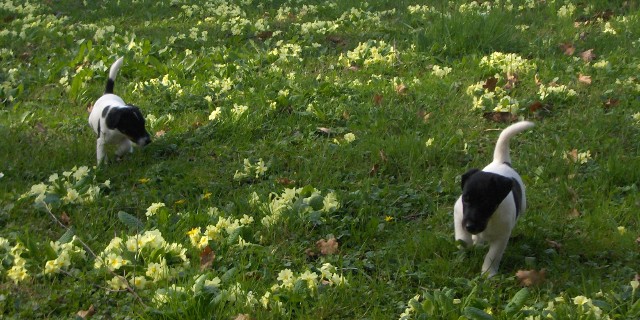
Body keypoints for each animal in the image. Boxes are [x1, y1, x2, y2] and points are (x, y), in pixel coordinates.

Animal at [452, 121, 536, 276]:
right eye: (466, 200)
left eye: (487, 203)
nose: (470, 226)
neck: (490, 219)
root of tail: (501, 162)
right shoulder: (459, 214)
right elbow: (462, 238)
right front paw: (465, 248)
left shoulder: (501, 237)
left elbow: (493, 255)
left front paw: (488, 273)